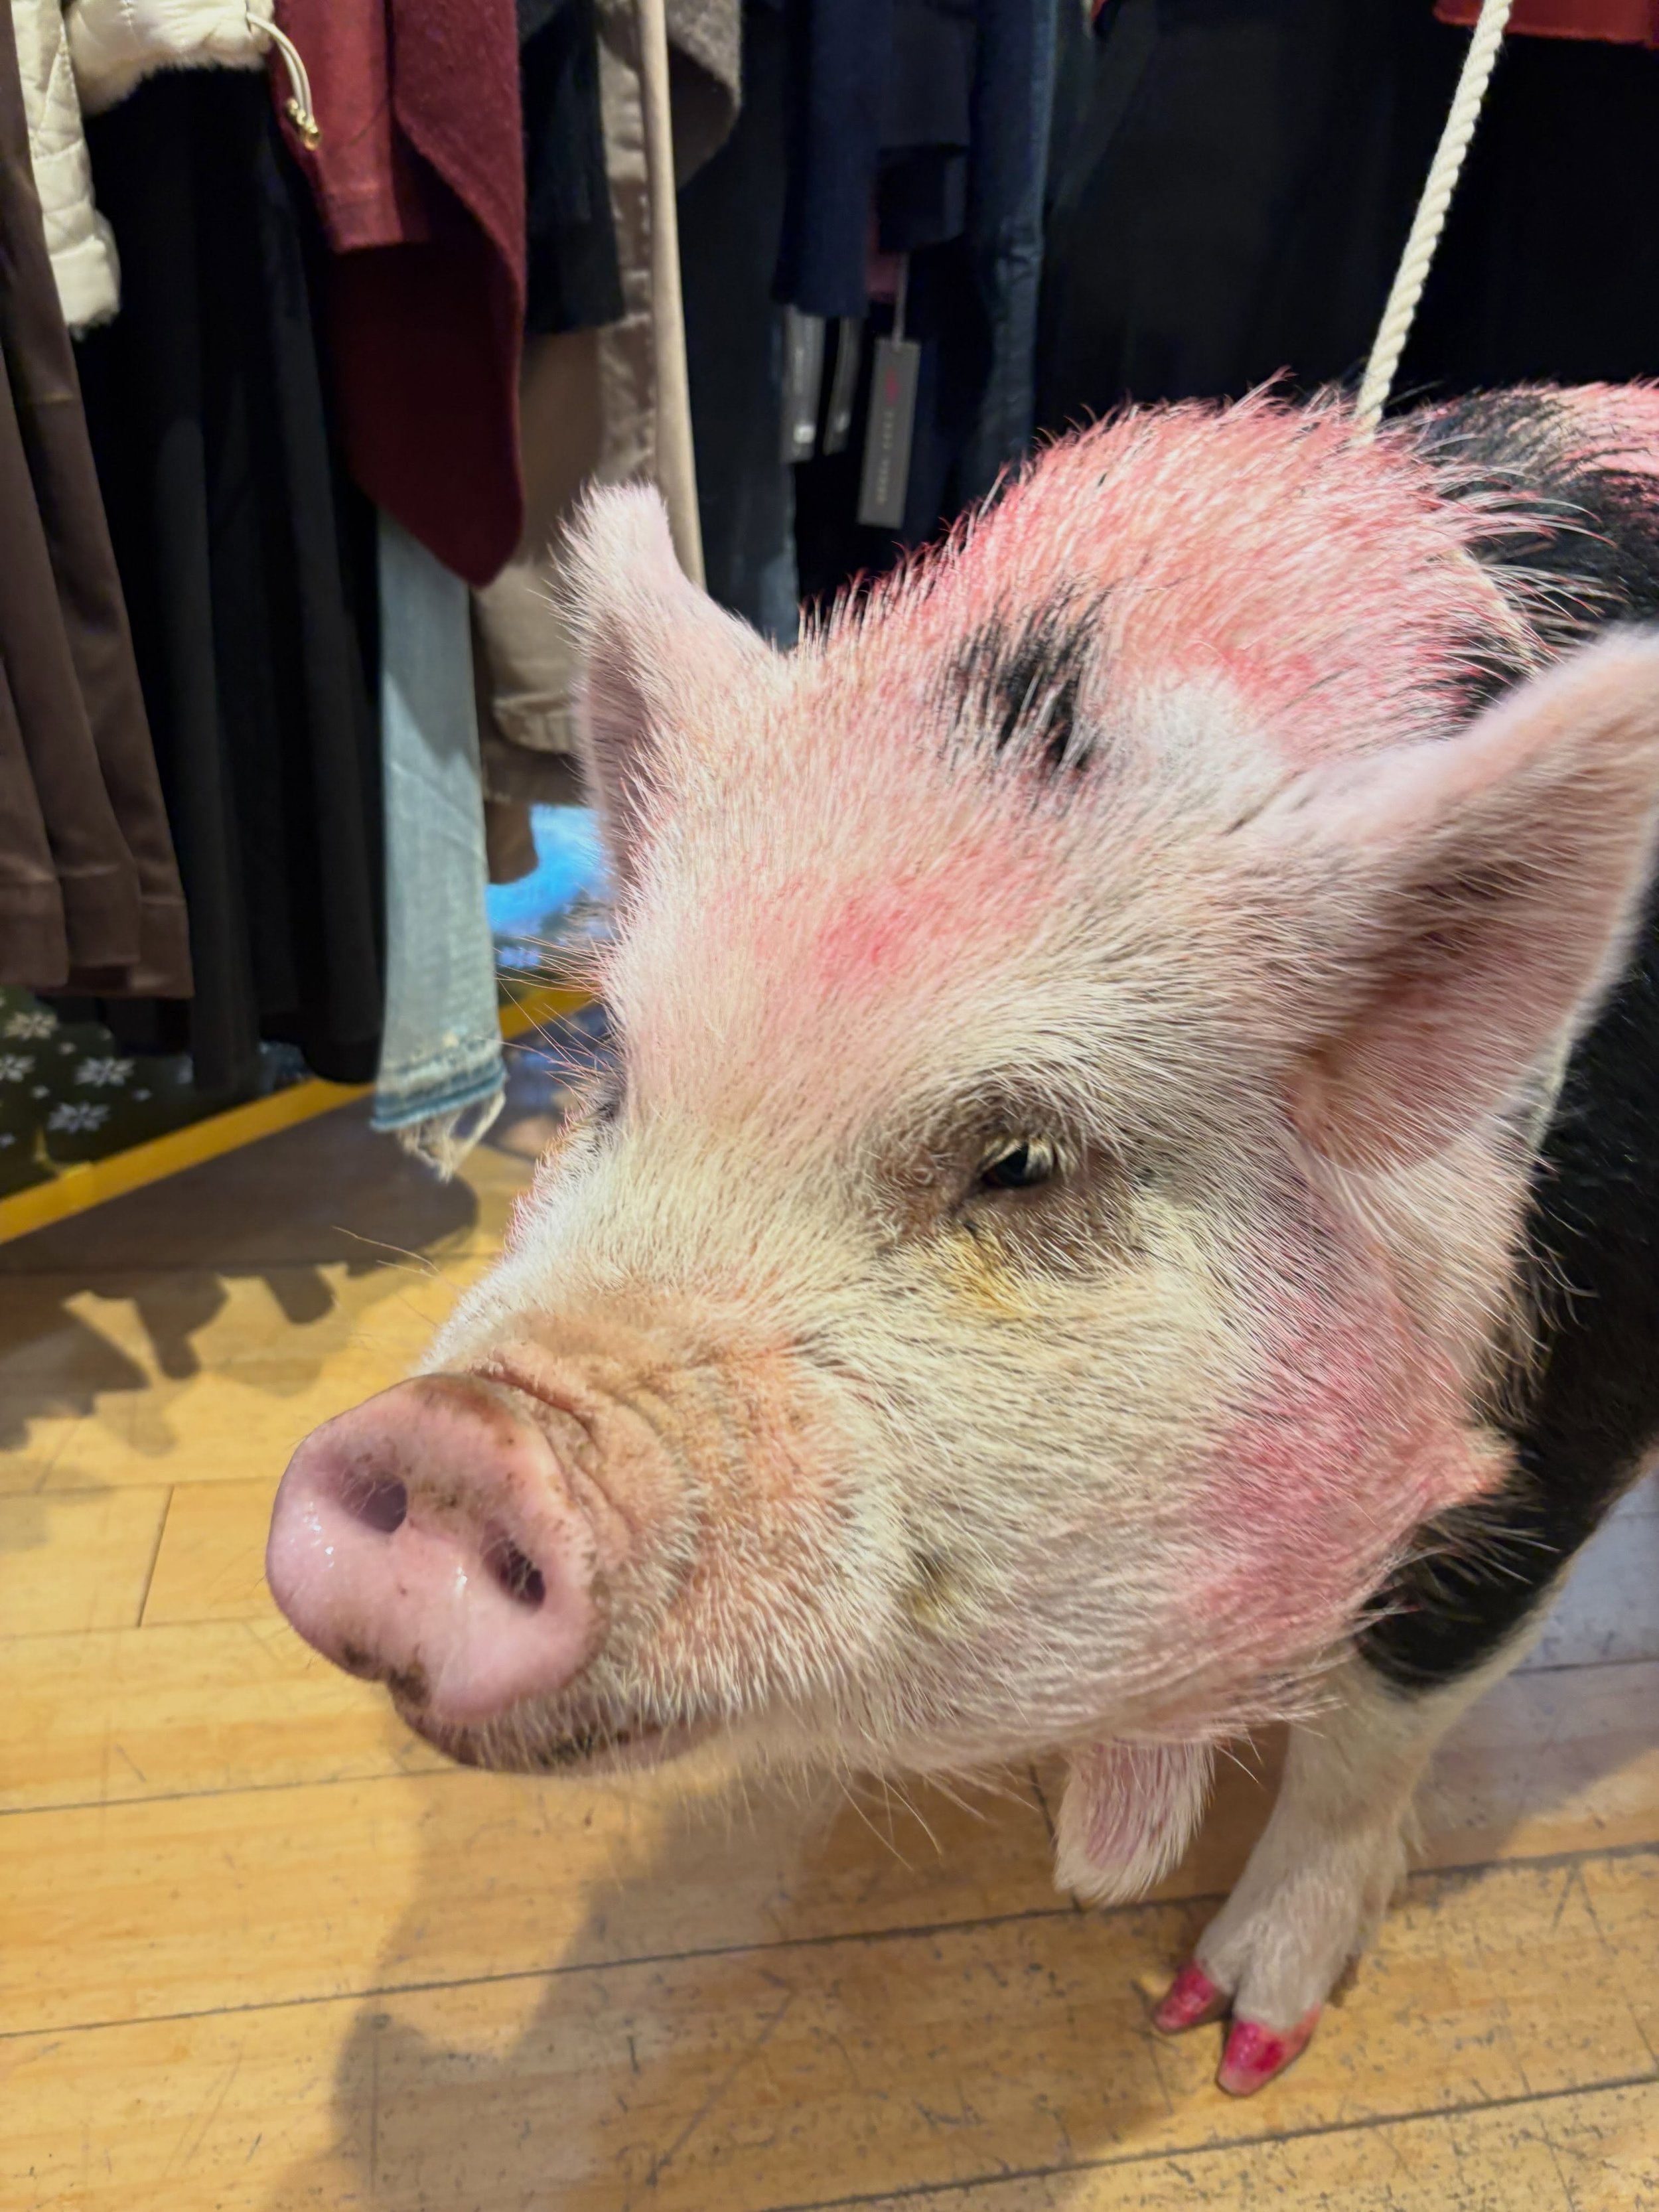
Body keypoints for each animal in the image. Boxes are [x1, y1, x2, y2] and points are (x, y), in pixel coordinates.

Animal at [268, 384, 1659, 2095]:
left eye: (1022, 1161)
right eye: (622, 1084)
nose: (452, 1440)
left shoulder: (1571, 1395)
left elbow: (1385, 1707)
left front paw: (1220, 2035)